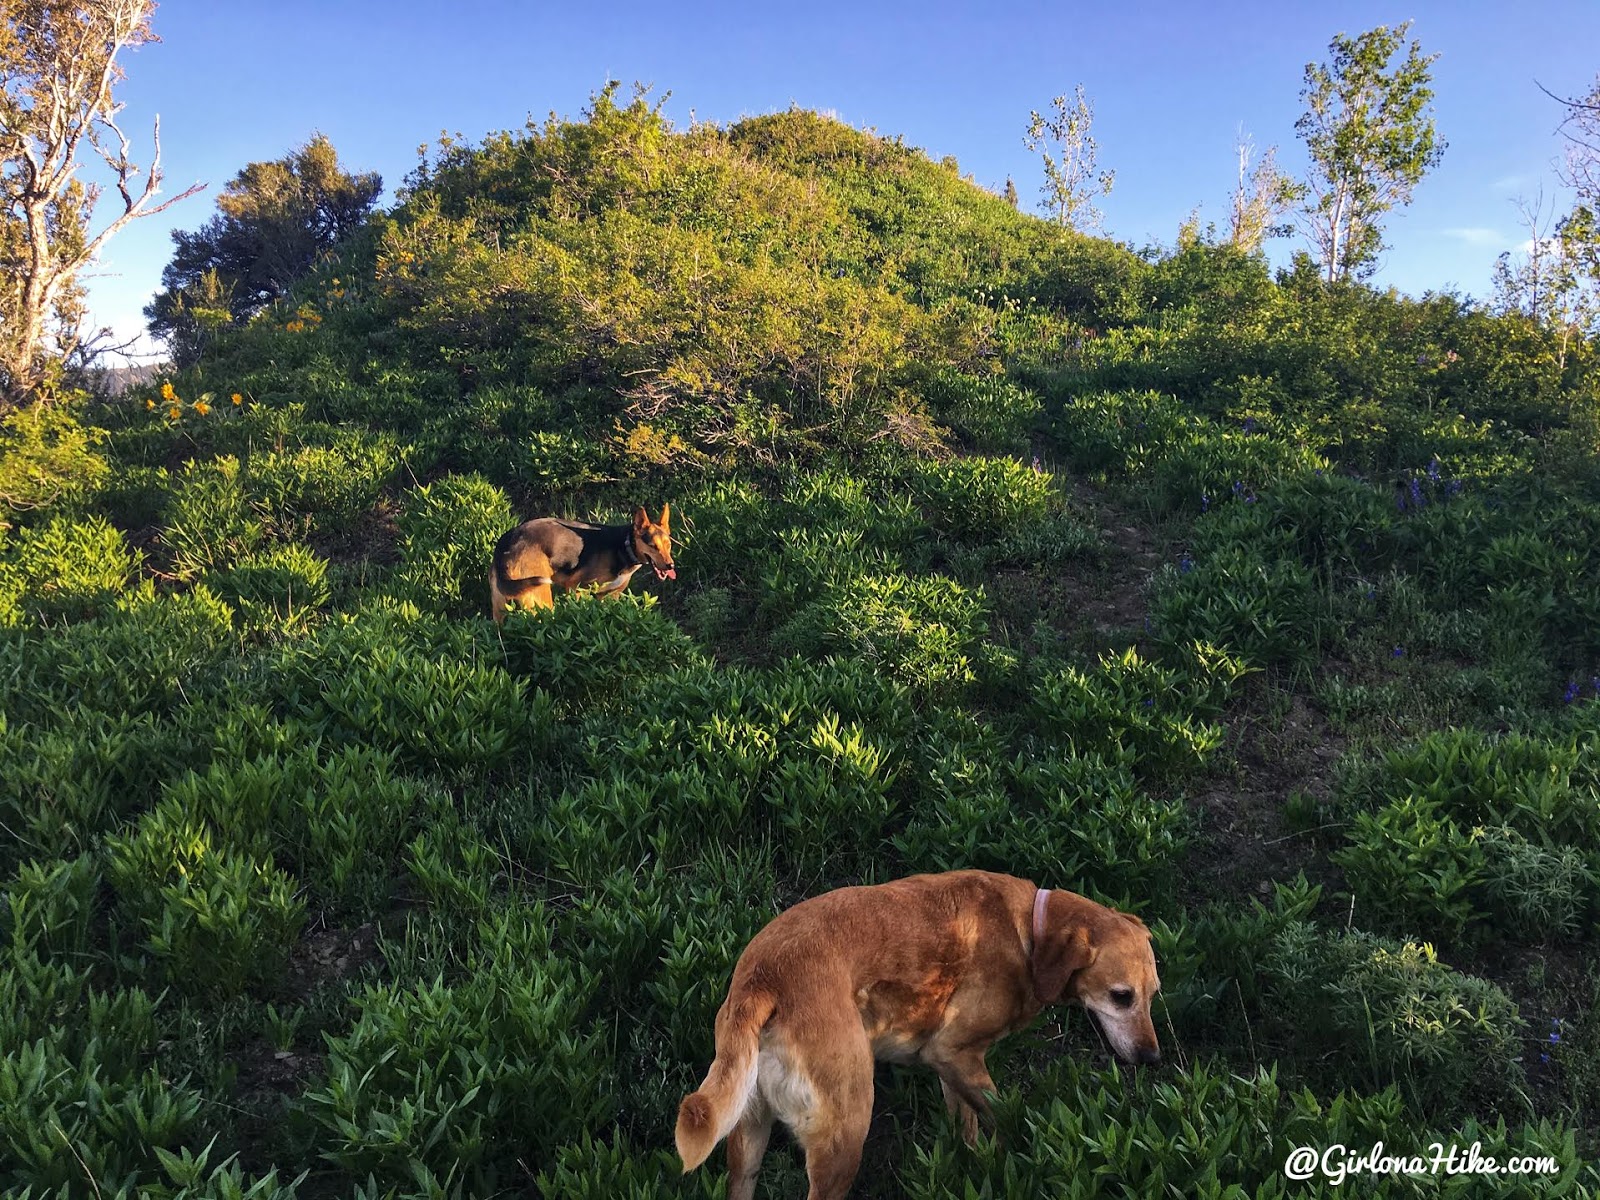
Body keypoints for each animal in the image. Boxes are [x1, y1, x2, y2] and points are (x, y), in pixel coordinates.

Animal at [675, 876, 1164, 1200]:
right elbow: (1005, 1116)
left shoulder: (954, 1068)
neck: (1030, 930)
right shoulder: (952, 1052)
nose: (1151, 1057)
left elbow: (966, 1124)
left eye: (1153, 995)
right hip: (844, 1135)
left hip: (747, 1139)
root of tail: (762, 982)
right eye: (1122, 997)